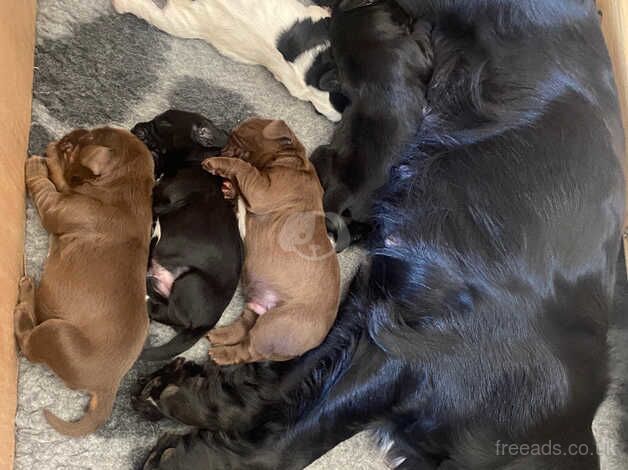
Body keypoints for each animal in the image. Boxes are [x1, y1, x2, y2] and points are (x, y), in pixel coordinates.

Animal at [15, 126, 155, 436]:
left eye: (70, 148)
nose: (57, 141)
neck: (124, 189)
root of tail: (110, 386)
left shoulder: (59, 208)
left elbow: (46, 185)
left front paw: (39, 164)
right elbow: (60, 182)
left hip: (58, 335)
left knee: (29, 345)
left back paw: (25, 300)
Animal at [131, 109, 242, 360]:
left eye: (163, 123)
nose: (136, 127)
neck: (194, 164)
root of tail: (207, 325)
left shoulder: (160, 201)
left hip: (191, 281)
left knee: (171, 314)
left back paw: (146, 301)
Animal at [202, 117, 338, 364]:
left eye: (237, 134)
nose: (221, 148)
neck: (291, 161)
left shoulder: (262, 190)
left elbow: (244, 167)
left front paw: (219, 163)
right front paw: (229, 189)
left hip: (274, 325)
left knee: (247, 351)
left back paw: (222, 355)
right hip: (257, 307)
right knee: (243, 327)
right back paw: (220, 335)